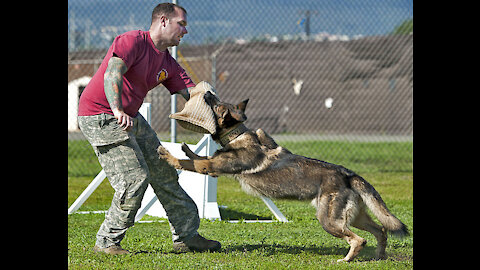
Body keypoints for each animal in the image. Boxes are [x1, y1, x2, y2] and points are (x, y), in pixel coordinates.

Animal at [158, 91, 408, 262]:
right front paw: (185, 149)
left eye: (217, 104)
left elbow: (191, 162)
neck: (237, 135)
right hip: (355, 217)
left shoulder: (210, 167)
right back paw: (378, 256)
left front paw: (168, 155)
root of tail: (348, 174)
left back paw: (346, 259)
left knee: (359, 239)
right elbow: (197, 156)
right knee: (381, 230)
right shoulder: (210, 164)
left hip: (328, 220)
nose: (208, 93)